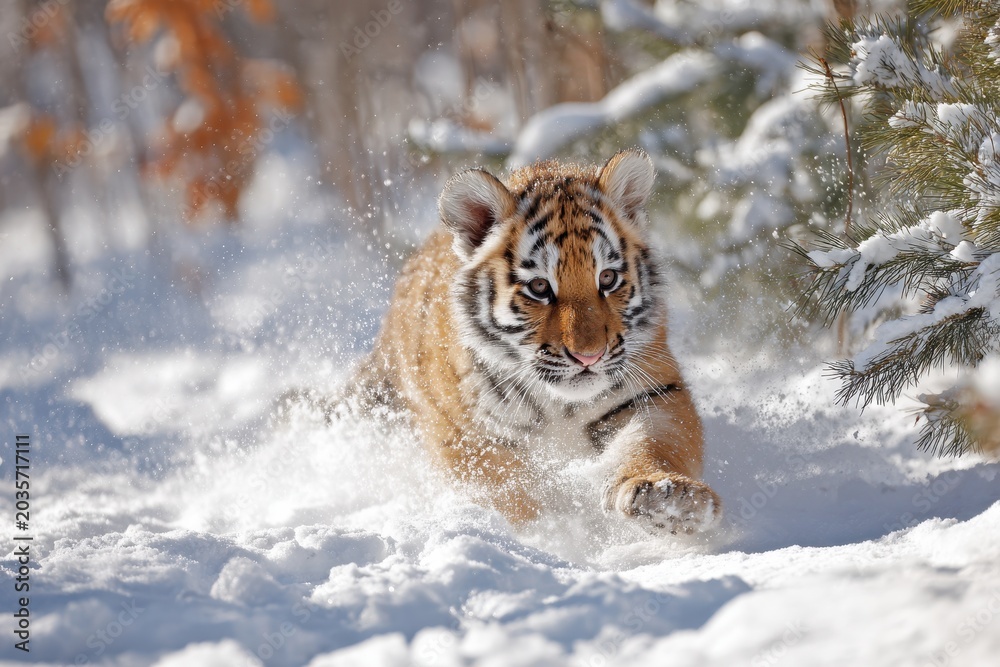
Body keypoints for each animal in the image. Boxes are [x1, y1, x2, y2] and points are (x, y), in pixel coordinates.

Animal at [321, 148, 721, 534]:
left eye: (607, 278)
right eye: (539, 287)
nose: (588, 357)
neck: (561, 407)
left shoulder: (651, 392)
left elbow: (651, 445)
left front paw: (667, 499)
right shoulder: (463, 435)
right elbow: (511, 494)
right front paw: (554, 532)